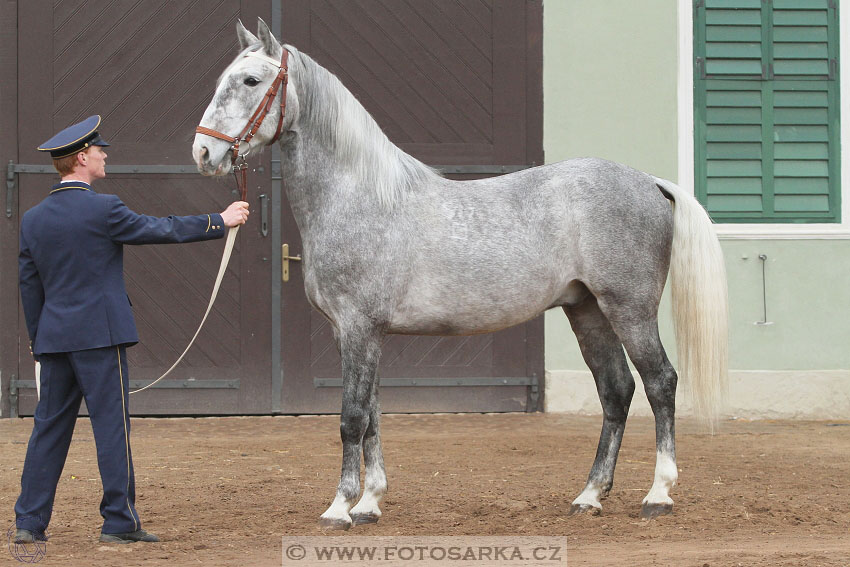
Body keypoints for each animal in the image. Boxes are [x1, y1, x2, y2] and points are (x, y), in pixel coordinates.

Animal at [190, 20, 724, 532]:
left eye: (251, 80)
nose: (203, 154)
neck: (362, 199)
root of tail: (649, 182)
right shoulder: (359, 334)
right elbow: (374, 417)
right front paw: (370, 504)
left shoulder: (359, 329)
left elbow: (351, 419)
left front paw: (339, 508)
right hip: (587, 311)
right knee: (616, 390)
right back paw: (589, 496)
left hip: (630, 308)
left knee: (660, 383)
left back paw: (658, 495)